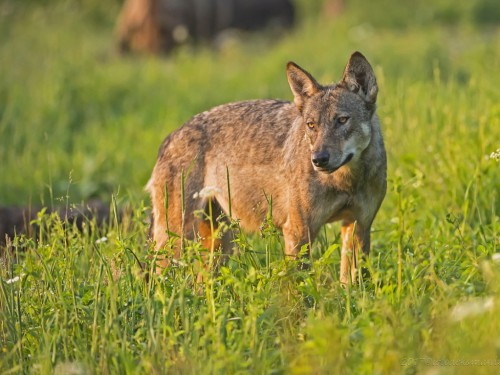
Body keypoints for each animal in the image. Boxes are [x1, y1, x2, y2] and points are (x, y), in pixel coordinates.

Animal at [146, 51, 388, 284]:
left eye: (342, 120)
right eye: (311, 125)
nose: (319, 159)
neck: (346, 182)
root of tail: (170, 137)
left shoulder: (359, 225)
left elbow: (353, 284)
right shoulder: (298, 232)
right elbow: (300, 286)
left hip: (221, 244)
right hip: (178, 240)